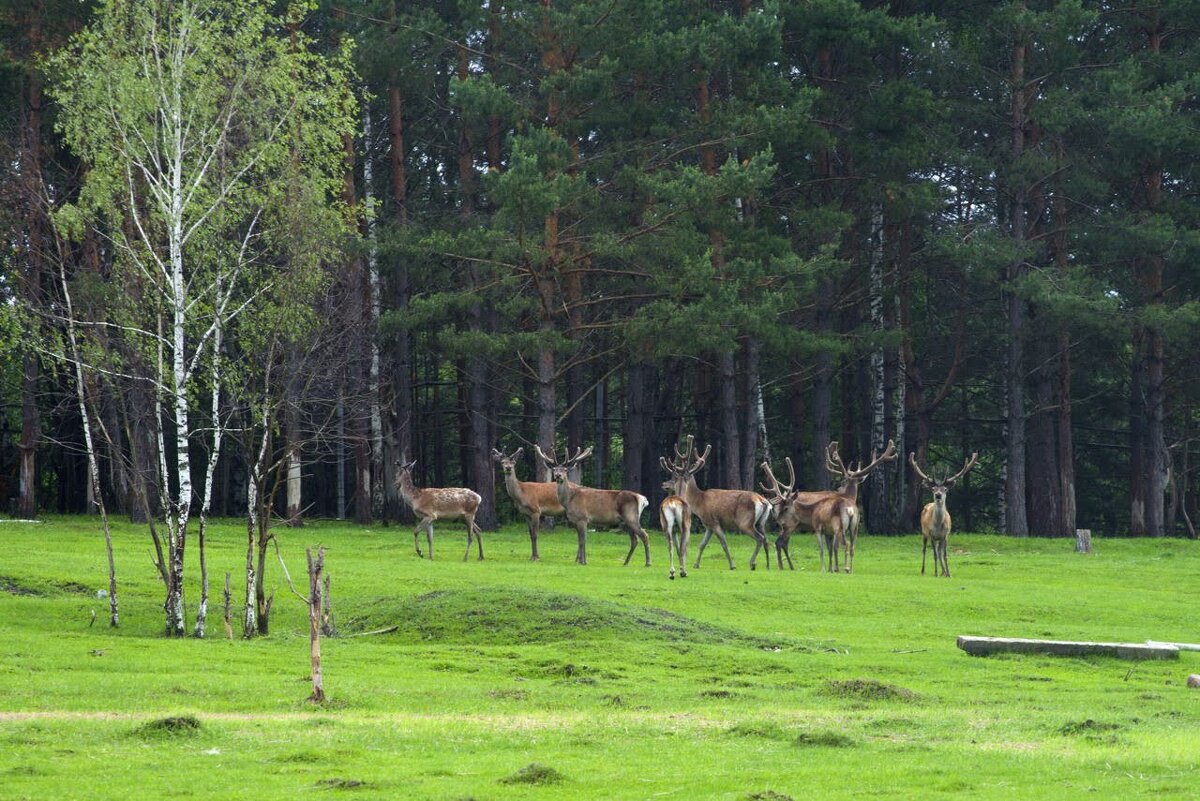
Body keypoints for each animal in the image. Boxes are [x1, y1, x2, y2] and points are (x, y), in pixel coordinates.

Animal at [662, 434, 772, 573]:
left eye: (674, 478)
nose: (663, 484)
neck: (698, 503)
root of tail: (763, 501)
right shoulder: (708, 525)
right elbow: (702, 544)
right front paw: (696, 564)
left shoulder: (714, 522)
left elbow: (724, 543)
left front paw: (732, 565)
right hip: (761, 522)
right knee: (766, 539)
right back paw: (767, 565)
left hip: (745, 522)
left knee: (760, 538)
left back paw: (752, 563)